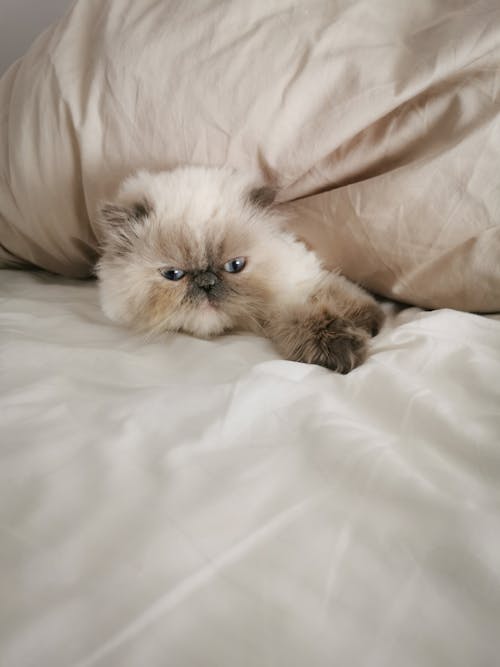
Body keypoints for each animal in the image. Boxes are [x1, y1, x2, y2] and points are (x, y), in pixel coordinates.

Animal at [95, 166, 382, 374]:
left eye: (234, 266)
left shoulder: (293, 285)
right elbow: (307, 318)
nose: (206, 282)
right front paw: (346, 348)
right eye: (173, 275)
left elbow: (330, 296)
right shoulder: (281, 309)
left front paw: (371, 323)